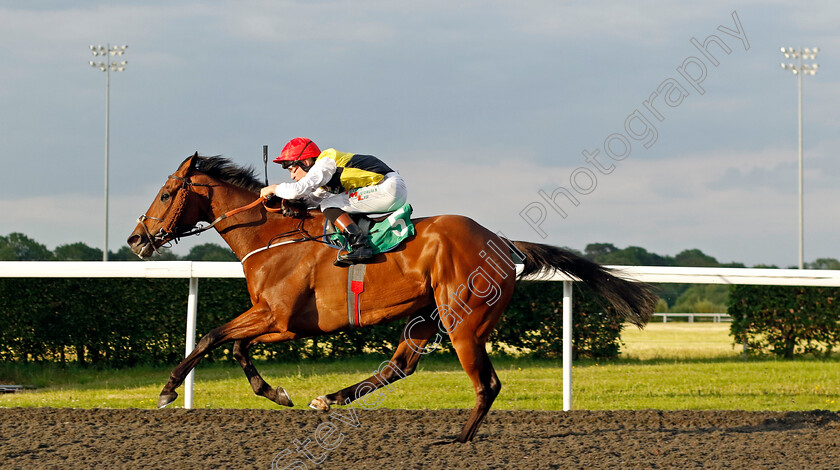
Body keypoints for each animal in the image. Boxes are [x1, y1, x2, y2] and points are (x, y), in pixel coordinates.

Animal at [128, 153, 660, 440]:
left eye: (165, 193)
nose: (136, 240)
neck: (274, 237)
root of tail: (500, 241)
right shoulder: (280, 322)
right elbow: (233, 344)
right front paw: (275, 393)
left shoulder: (275, 318)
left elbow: (213, 336)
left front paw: (168, 389)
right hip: (426, 317)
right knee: (399, 366)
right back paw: (330, 399)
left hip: (464, 322)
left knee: (486, 385)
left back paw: (458, 441)